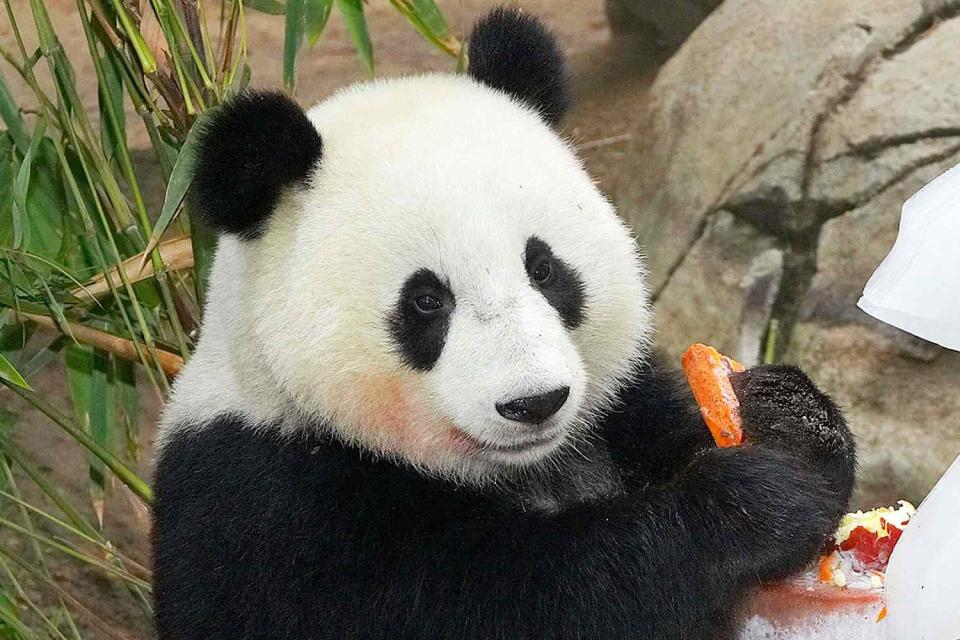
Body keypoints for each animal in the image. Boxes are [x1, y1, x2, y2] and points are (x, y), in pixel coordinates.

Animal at [154, 7, 860, 636]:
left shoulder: (620, 405)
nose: (535, 402)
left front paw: (787, 422)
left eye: (543, 269)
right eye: (426, 301)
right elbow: (509, 599)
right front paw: (743, 506)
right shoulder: (268, 504)